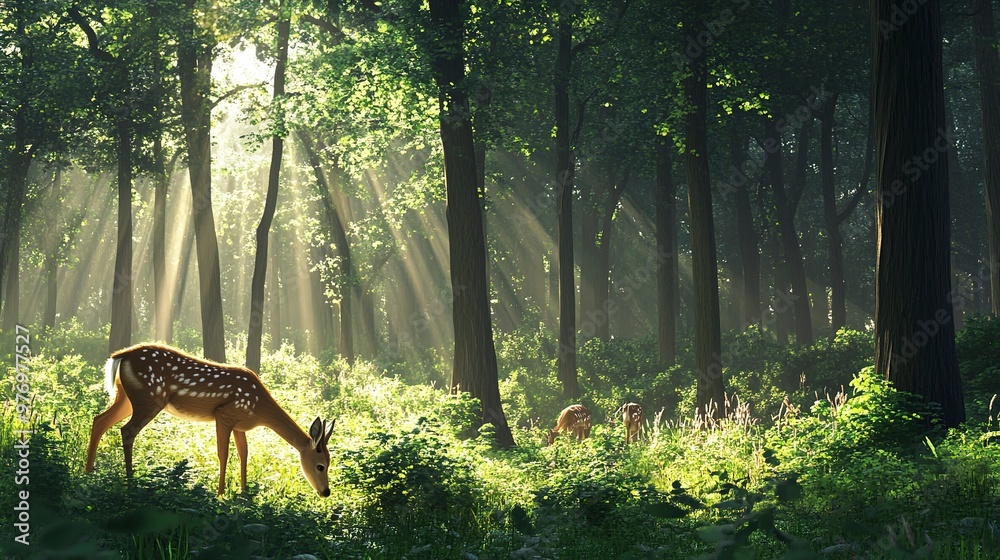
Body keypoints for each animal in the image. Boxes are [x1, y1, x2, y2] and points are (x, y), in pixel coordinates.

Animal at [86, 344, 336, 496]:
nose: (326, 492)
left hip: (127, 397)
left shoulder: (240, 425)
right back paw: (130, 482)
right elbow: (223, 454)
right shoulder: (224, 414)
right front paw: (220, 493)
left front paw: (244, 493)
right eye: (320, 465)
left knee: (99, 420)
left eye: (329, 462)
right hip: (149, 398)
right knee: (126, 431)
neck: (259, 408)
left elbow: (244, 454)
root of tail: (121, 356)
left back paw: (87, 474)